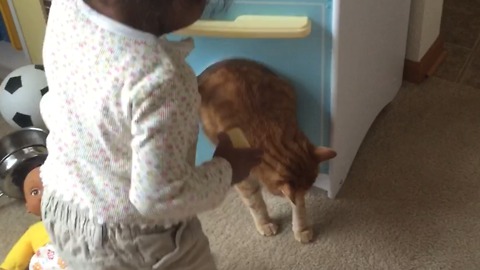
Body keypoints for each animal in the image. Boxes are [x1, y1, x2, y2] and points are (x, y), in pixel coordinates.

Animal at [197, 58, 336, 244]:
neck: (268, 138)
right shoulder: (243, 178)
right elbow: (255, 203)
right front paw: (265, 223)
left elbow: (298, 205)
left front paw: (301, 228)